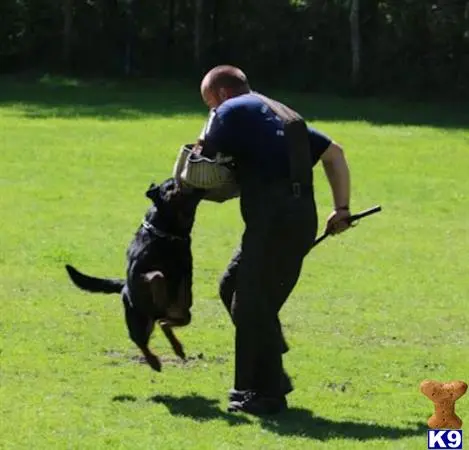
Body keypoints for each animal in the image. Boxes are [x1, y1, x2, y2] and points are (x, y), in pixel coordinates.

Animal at [65, 178, 203, 370]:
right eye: (170, 186)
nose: (182, 180)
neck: (168, 234)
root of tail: (123, 287)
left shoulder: (184, 271)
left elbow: (180, 285)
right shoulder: (138, 274)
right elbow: (157, 275)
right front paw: (160, 294)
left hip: (176, 316)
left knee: (165, 324)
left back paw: (177, 347)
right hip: (137, 318)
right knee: (141, 340)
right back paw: (153, 361)